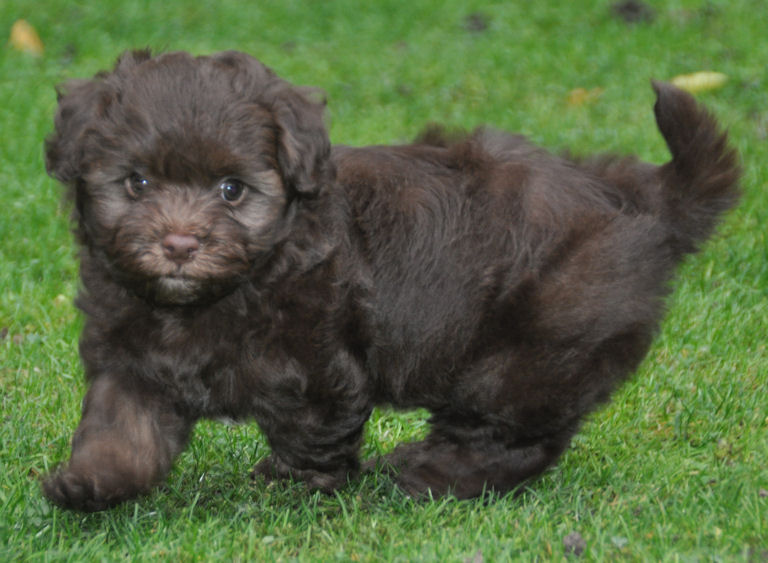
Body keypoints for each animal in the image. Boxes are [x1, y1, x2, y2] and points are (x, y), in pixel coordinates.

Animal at [40, 51, 736, 512]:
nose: (180, 245)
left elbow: (313, 430)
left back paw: (429, 474)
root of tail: (639, 199)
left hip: (531, 346)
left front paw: (295, 482)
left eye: (231, 190)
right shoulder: (132, 358)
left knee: (515, 433)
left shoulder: (319, 365)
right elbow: (122, 430)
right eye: (137, 183)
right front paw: (89, 483)